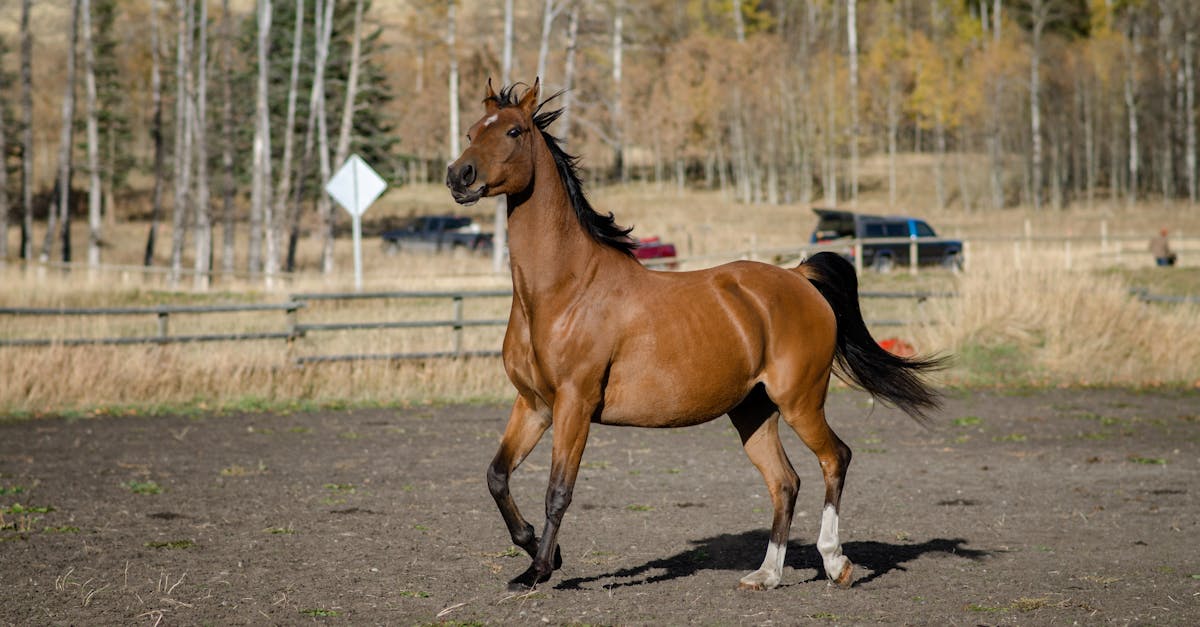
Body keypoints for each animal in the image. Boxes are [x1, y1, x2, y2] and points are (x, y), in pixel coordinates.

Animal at [446, 79, 940, 590]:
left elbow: (558, 490)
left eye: (514, 131)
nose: (459, 176)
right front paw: (540, 555)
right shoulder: (534, 405)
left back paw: (835, 562)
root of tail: (799, 277)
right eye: (470, 131)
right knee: (785, 482)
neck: (562, 291)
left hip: (800, 401)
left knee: (835, 458)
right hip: (753, 411)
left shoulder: (573, 403)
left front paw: (541, 570)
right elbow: (496, 476)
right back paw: (766, 575)